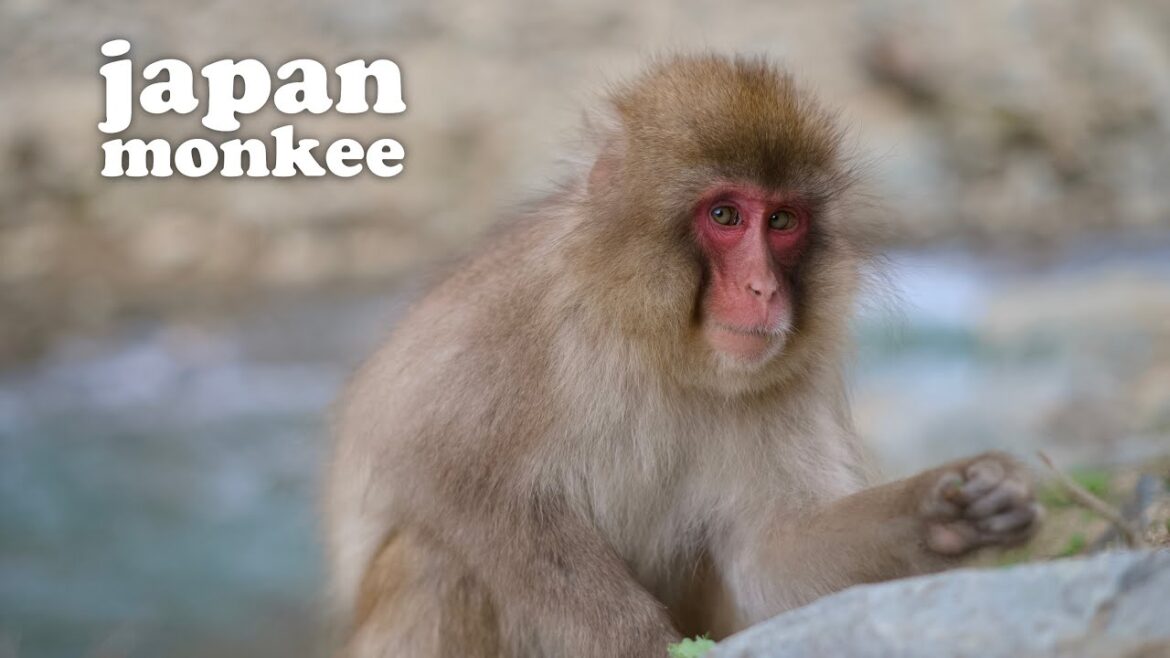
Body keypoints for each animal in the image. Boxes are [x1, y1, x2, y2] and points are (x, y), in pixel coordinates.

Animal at [324, 54, 1041, 657]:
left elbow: (773, 556)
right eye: (725, 215)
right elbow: (453, 476)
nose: (763, 288)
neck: (658, 343)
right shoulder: (513, 319)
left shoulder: (792, 376)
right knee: (436, 554)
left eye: (782, 222)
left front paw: (950, 510)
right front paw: (638, 644)